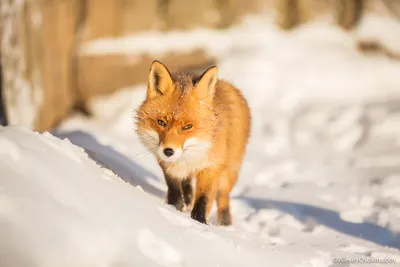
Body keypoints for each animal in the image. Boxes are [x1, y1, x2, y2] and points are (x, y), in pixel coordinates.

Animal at [136, 60, 252, 226]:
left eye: (188, 126)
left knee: (223, 197)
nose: (168, 151)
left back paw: (224, 223)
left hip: (229, 173)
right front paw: (174, 208)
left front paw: (199, 222)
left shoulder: (211, 167)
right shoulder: (165, 164)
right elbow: (174, 190)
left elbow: (203, 200)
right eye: (161, 122)